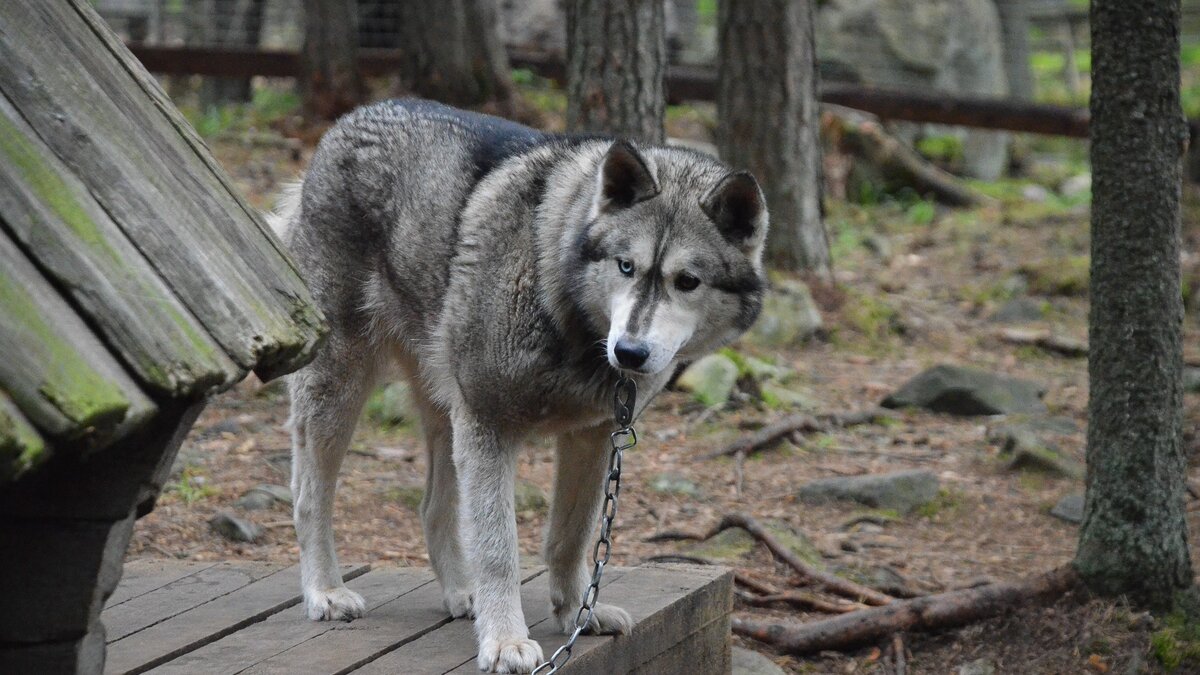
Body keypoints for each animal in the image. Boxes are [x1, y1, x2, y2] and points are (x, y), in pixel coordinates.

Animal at [276, 97, 768, 667]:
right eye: (626, 266)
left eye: (687, 281)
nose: (629, 352)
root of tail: (356, 116)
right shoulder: (489, 426)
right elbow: (500, 551)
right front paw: (505, 641)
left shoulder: (590, 437)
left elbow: (570, 539)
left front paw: (578, 614)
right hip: (344, 393)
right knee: (309, 497)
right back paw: (326, 593)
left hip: (447, 417)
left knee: (433, 508)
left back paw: (461, 593)